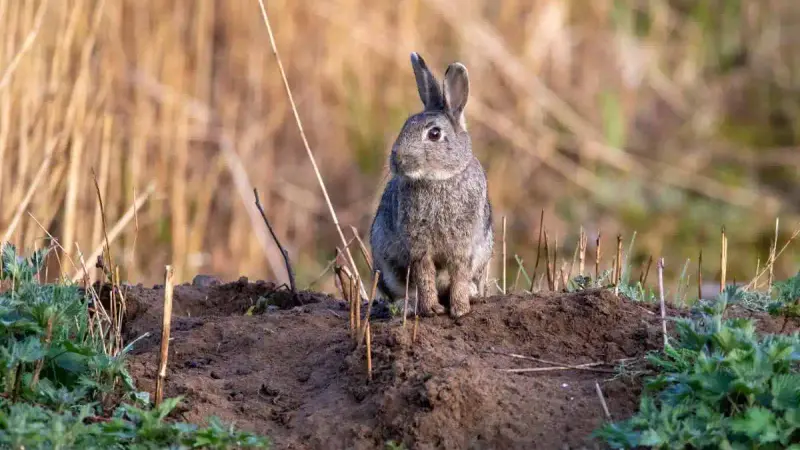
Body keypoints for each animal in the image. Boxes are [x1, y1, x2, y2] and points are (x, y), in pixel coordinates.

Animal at [369, 52, 493, 319]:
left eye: (434, 134)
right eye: (405, 125)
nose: (397, 159)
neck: (438, 179)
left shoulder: (463, 246)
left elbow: (459, 275)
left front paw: (460, 309)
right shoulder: (418, 246)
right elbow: (424, 276)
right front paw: (432, 309)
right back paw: (408, 306)